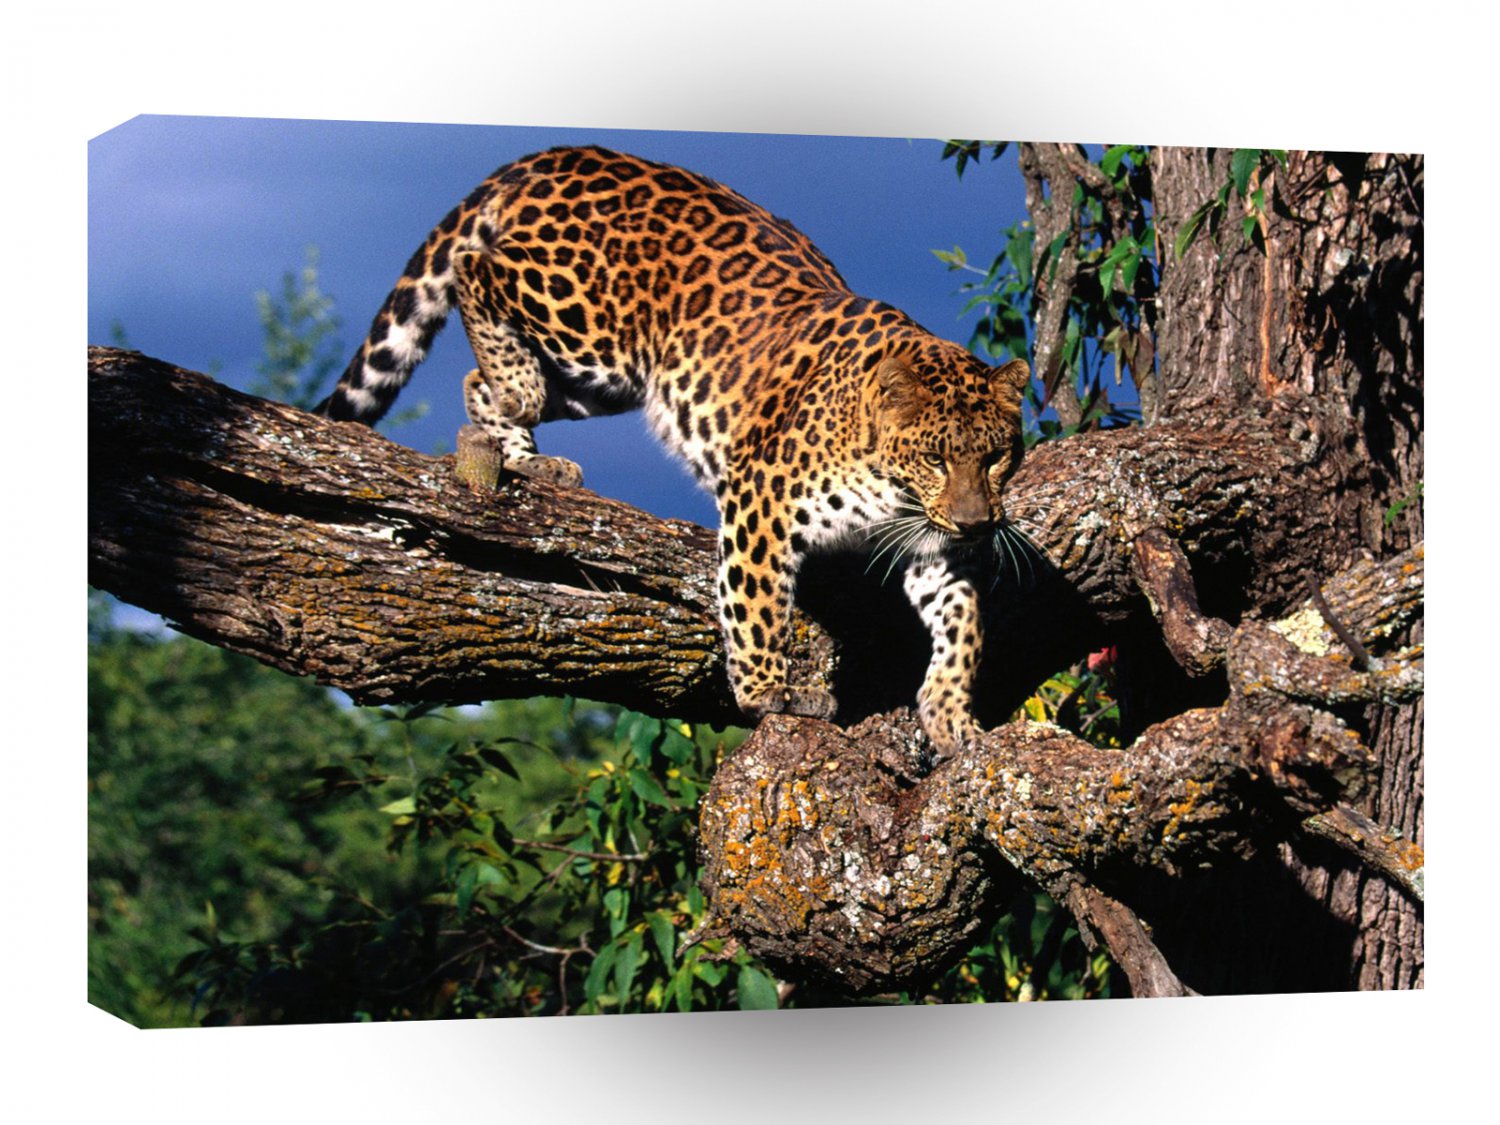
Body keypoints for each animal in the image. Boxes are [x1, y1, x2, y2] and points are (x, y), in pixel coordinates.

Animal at [318, 145, 1032, 756]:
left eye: (997, 456)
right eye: (936, 458)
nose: (978, 523)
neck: (892, 483)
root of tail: (556, 154)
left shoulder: (937, 548)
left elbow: (964, 626)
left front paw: (951, 716)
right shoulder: (763, 495)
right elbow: (757, 602)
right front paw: (769, 692)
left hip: (603, 379)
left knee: (478, 383)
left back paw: (527, 457)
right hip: (583, 315)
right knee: (477, 270)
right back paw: (517, 384)